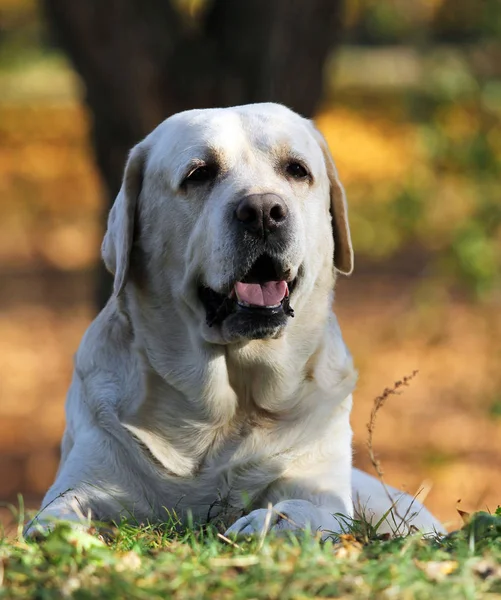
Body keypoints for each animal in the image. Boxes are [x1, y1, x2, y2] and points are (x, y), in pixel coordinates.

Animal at [26, 103, 442, 540]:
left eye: (296, 170)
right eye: (199, 174)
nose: (262, 212)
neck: (227, 411)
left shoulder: (320, 488)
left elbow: (306, 507)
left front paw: (268, 520)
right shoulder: (88, 476)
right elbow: (57, 512)